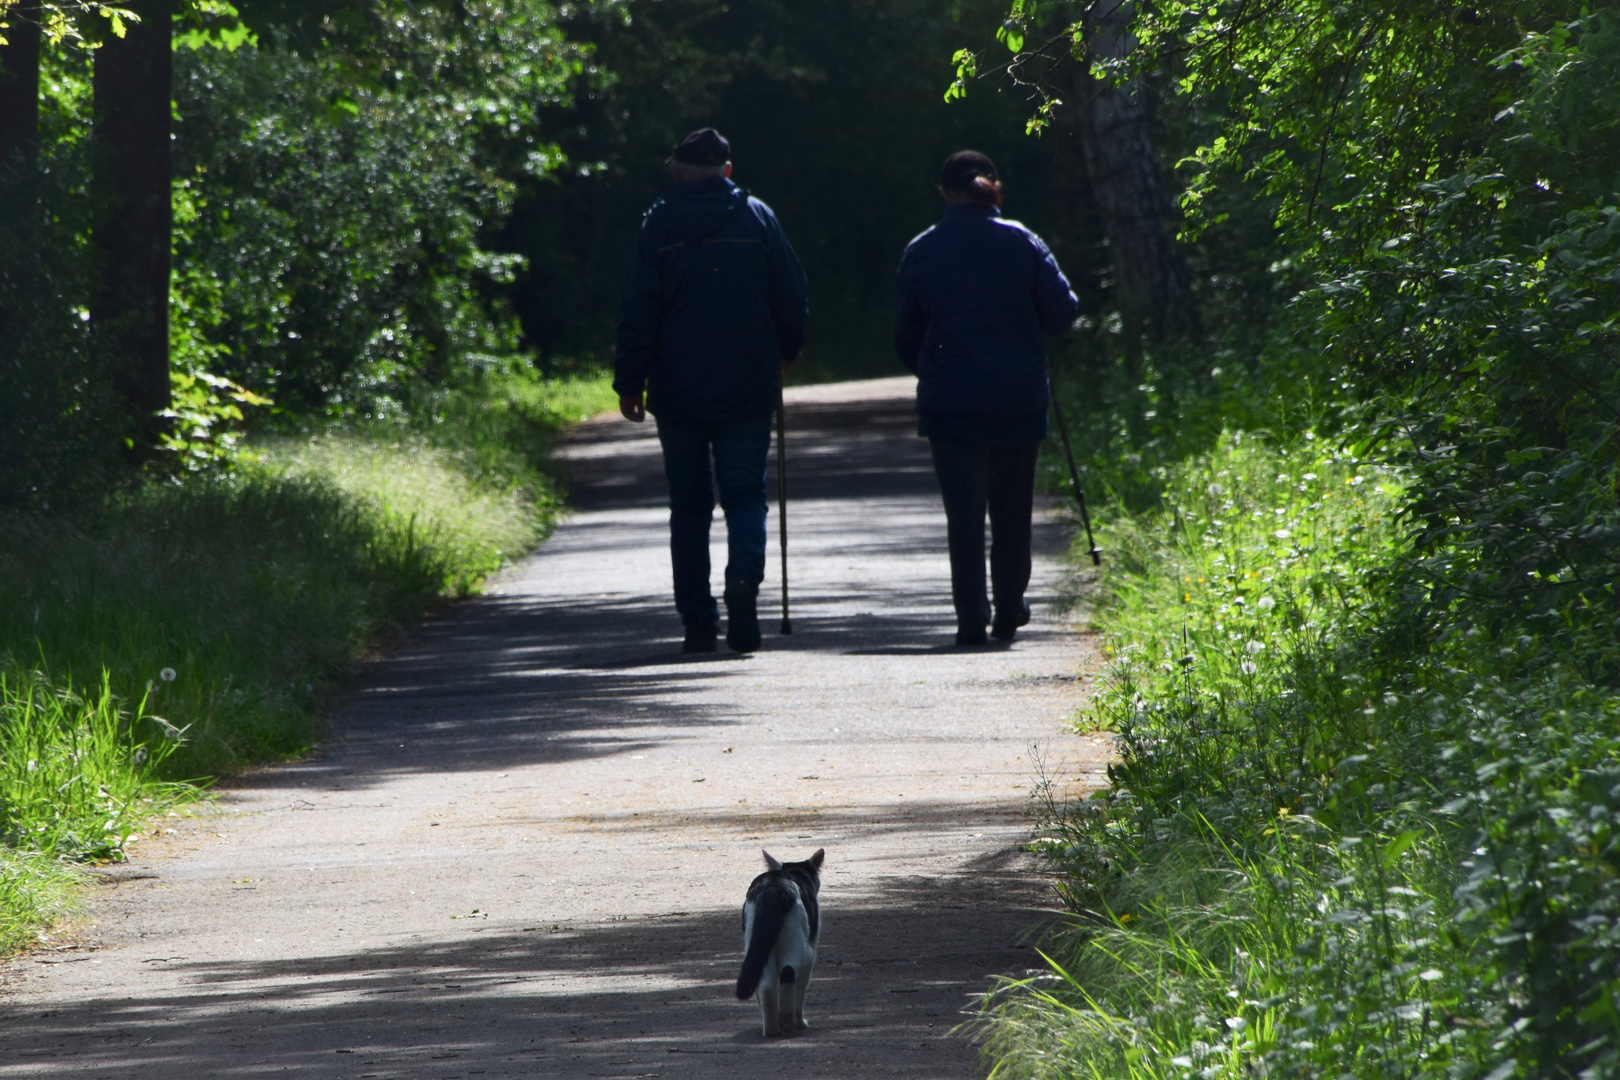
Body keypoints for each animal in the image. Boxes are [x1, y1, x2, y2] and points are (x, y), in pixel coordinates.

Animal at [741, 848, 829, 1036]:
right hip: (799, 945)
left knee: (766, 985)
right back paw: (789, 1021)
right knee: (789, 972)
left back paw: (771, 1028)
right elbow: (800, 991)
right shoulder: (811, 952)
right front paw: (800, 1022)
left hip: (758, 946)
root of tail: (774, 886)